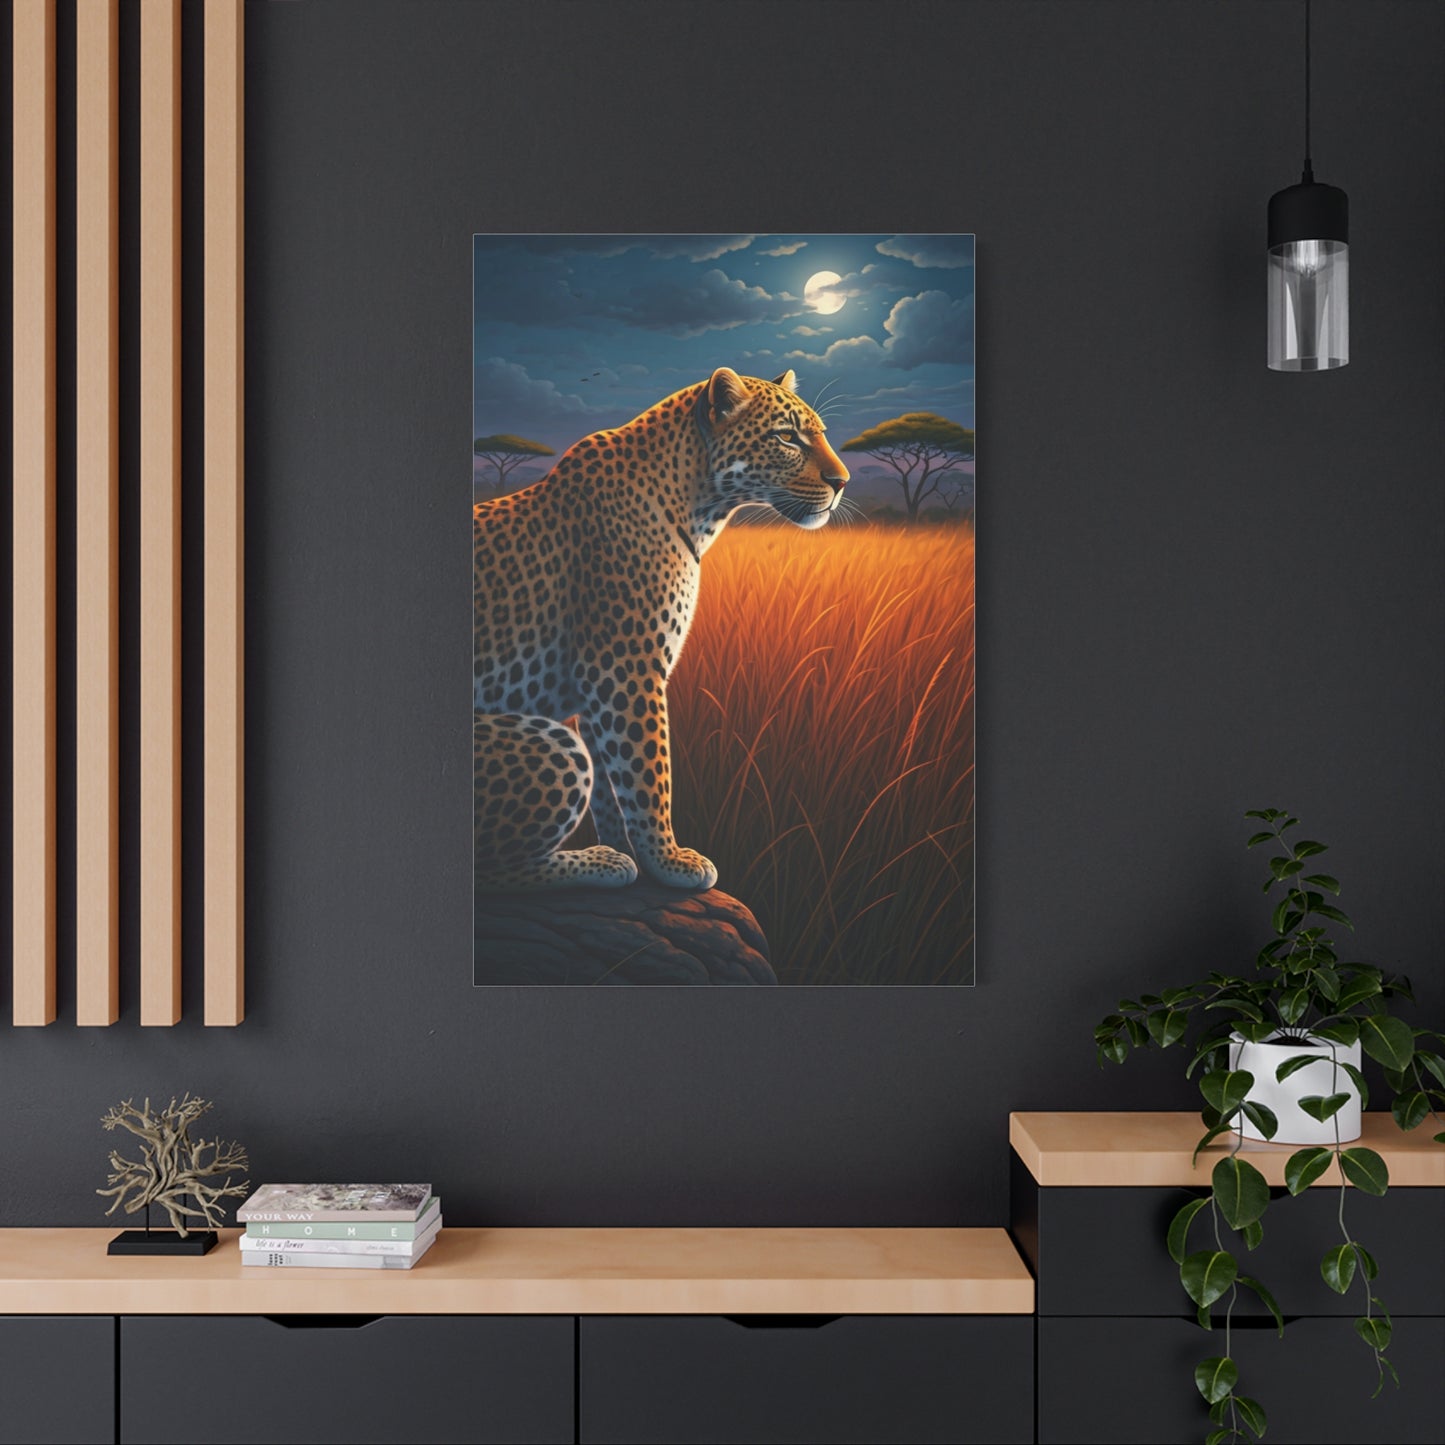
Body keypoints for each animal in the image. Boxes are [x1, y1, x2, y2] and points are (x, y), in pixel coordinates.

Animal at [473, 366, 849, 892]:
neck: (700, 506)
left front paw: (631, 849)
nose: (842, 481)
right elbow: (649, 773)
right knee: (493, 872)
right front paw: (670, 860)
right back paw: (596, 864)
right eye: (786, 437)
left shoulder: (598, 689)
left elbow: (615, 786)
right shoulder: (624, 671)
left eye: (819, 434)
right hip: (553, 744)